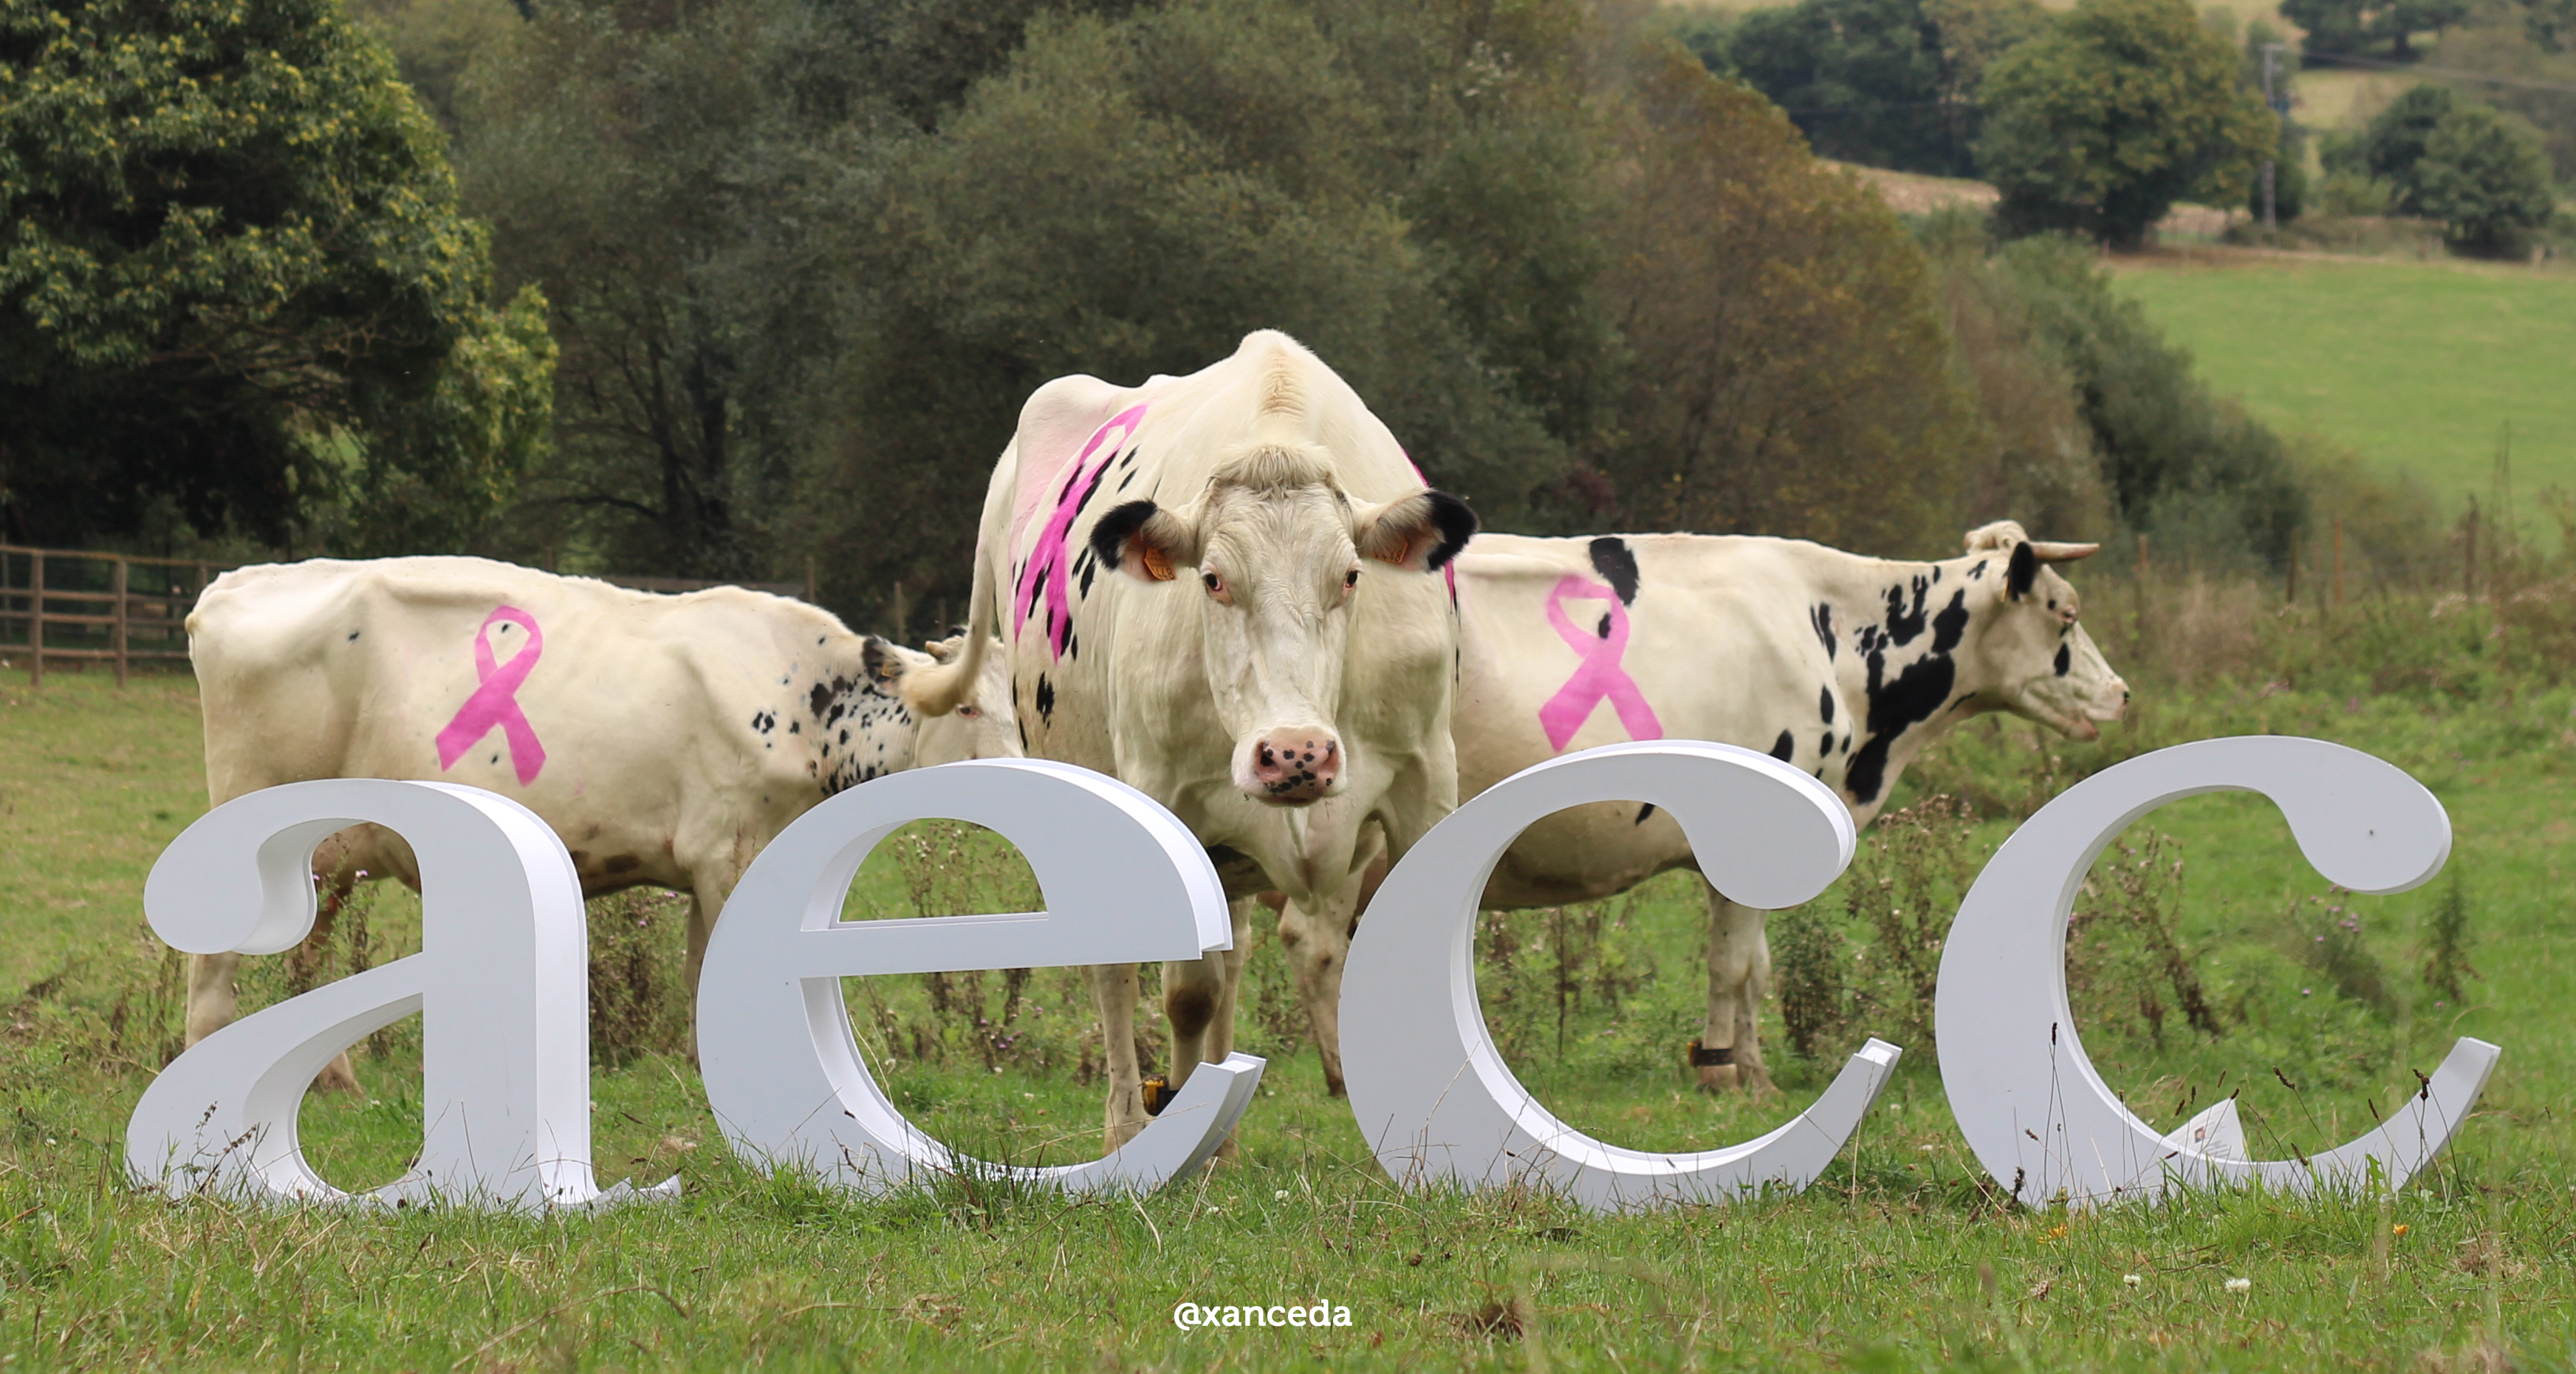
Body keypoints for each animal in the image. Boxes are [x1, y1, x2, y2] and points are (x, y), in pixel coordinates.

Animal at [182, 556, 1019, 1090]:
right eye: (966, 708)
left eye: (1016, 705)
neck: (805, 700)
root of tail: (235, 583)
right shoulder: (727, 852)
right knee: (218, 965)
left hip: (330, 856)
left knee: (306, 961)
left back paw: (330, 1081)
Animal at [897, 330, 1477, 1150]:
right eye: (1211, 578)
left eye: (1351, 576)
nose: (1296, 753)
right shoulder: (1167, 798)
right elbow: (1184, 991)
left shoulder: (1425, 783)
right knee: (1119, 971)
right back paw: (1129, 1127)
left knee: (1229, 959)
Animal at [1267, 521, 2130, 1097]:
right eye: (2064, 611)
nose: (2121, 694)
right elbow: (1733, 963)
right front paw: (1724, 1071)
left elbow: (1756, 967)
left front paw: (1749, 1065)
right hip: (1349, 813)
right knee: (1314, 942)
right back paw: (1346, 1076)